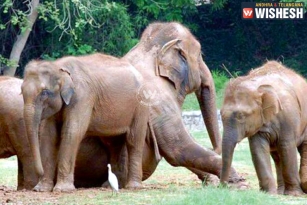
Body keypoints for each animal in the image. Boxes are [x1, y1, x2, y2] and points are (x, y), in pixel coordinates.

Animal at [220, 60, 307, 195]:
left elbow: (287, 146)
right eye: (220, 114)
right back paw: (280, 192)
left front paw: (294, 194)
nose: (222, 186)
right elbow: (258, 148)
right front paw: (268, 193)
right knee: (277, 156)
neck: (257, 86)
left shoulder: (288, 116)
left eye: (241, 116)